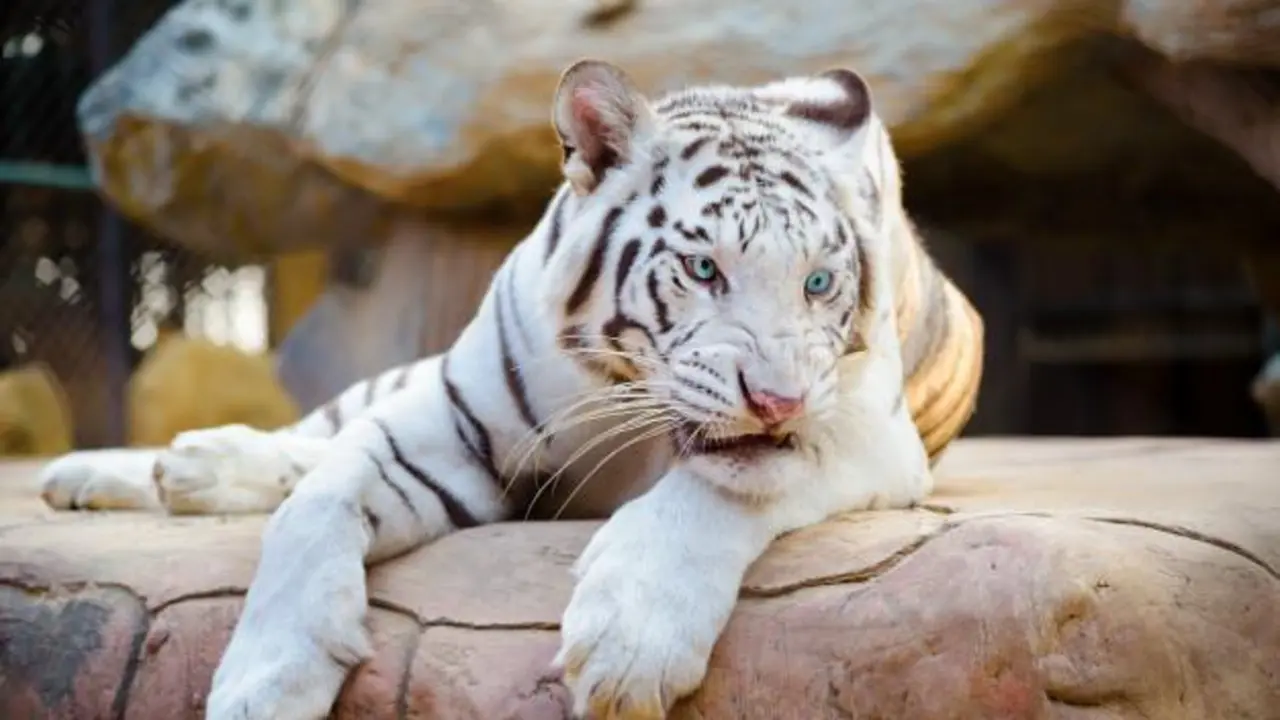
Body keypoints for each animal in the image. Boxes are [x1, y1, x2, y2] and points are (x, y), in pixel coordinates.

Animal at [37, 59, 983, 719]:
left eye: (820, 283)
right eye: (704, 269)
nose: (779, 401)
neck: (625, 390)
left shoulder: (860, 429)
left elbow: (727, 484)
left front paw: (629, 644)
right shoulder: (445, 421)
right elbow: (315, 505)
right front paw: (263, 683)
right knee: (316, 438)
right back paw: (136, 469)